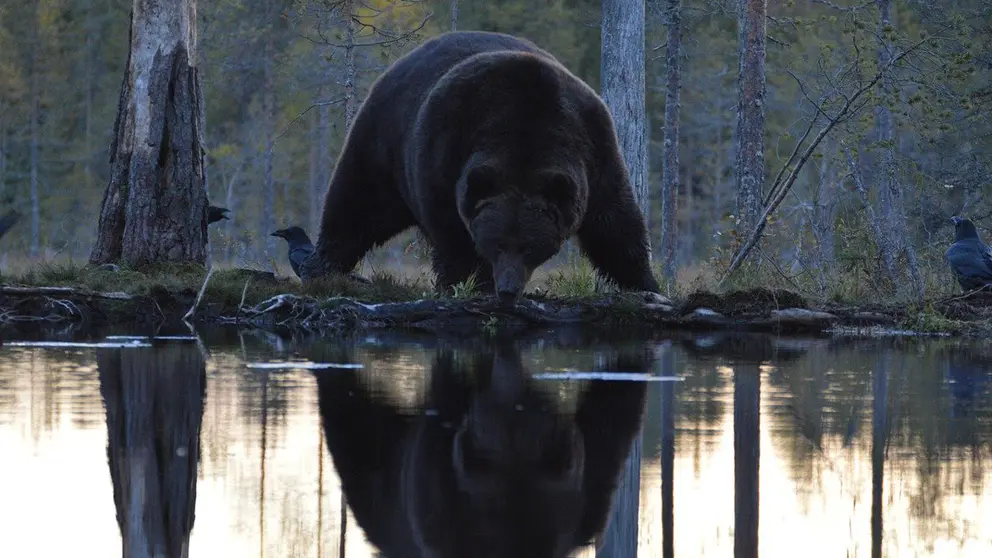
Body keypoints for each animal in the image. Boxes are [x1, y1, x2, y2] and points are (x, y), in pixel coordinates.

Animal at [302, 30, 660, 302]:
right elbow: (453, 234)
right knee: (357, 204)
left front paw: (645, 283)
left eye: (529, 247)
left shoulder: (594, 148)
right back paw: (323, 266)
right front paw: (469, 282)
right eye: (497, 245)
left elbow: (614, 224)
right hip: (383, 142)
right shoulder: (445, 152)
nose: (508, 290)